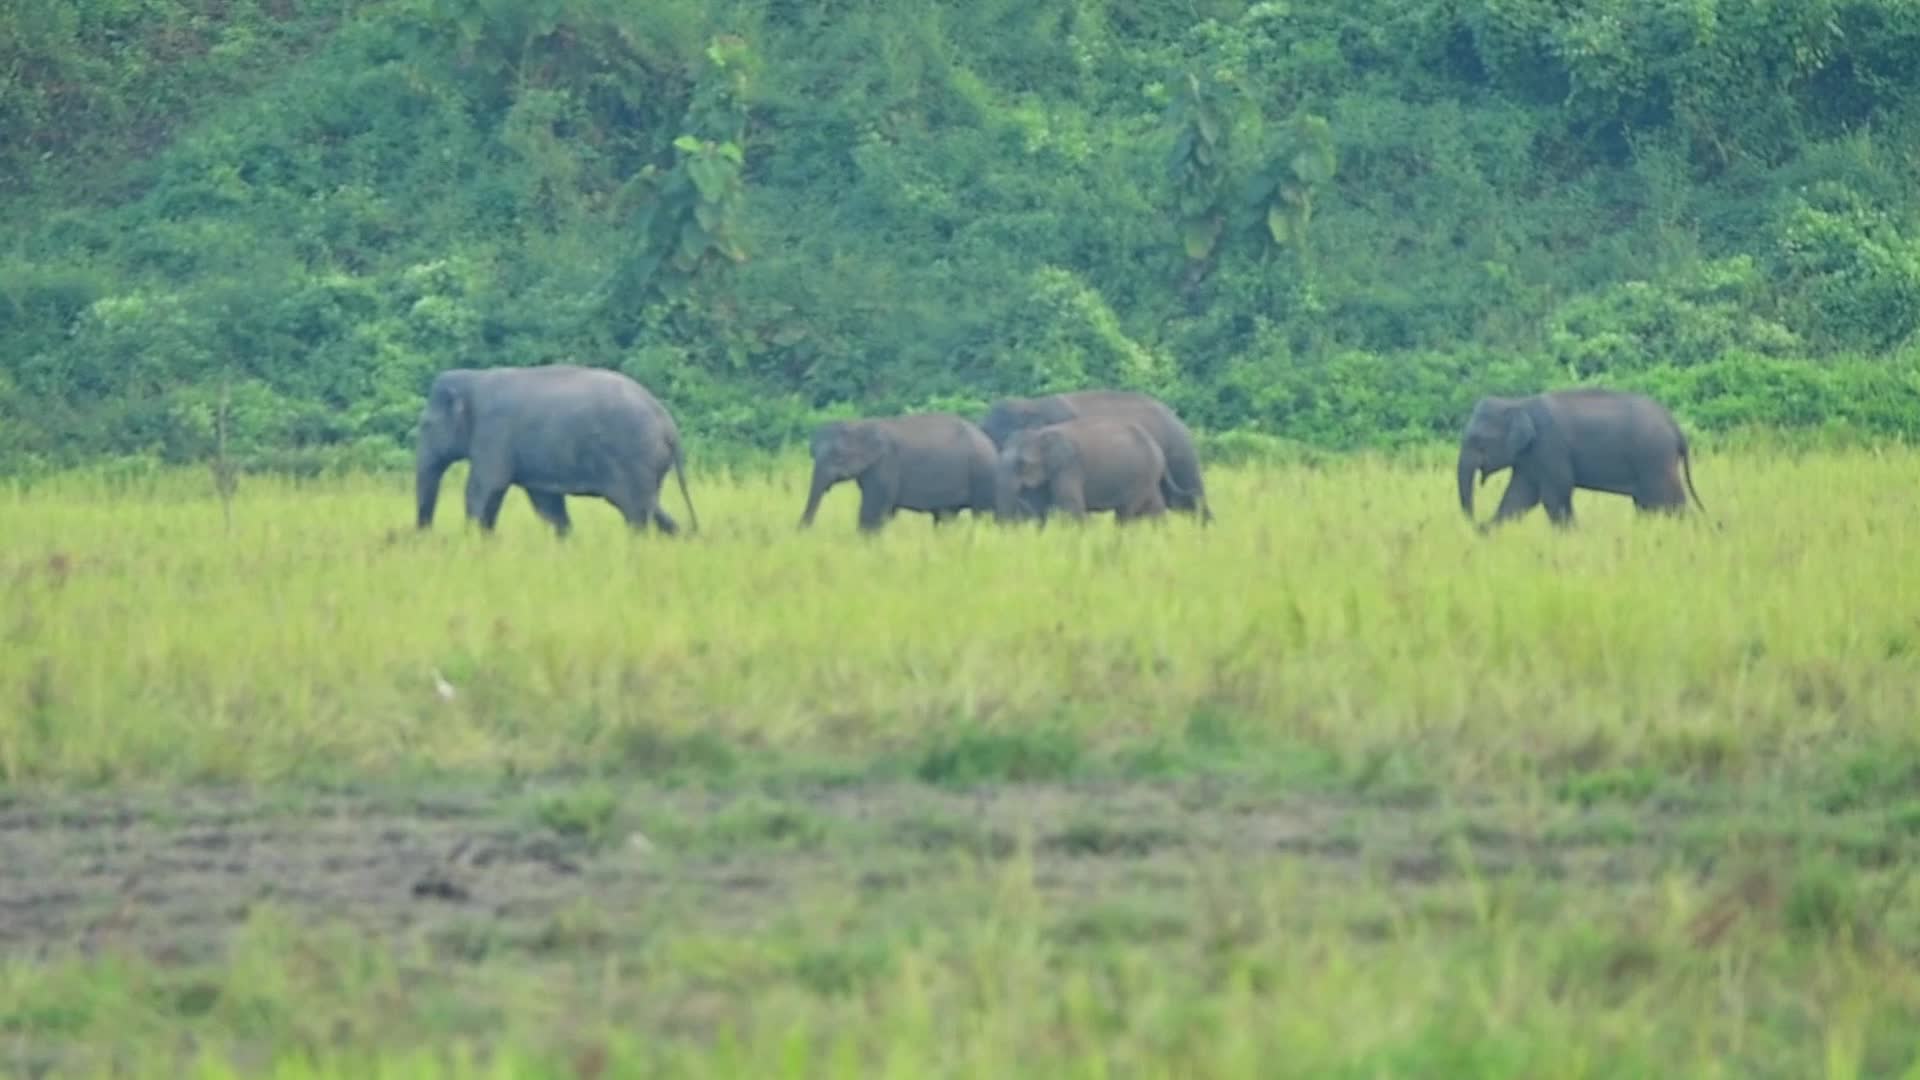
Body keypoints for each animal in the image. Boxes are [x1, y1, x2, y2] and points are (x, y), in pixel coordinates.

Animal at [414, 364, 699, 537]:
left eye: (425, 425)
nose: (424, 535)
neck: (474, 379)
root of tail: (668, 425)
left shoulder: (493, 435)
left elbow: (484, 489)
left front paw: (474, 541)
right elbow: (548, 505)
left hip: (635, 460)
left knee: (636, 514)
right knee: (653, 511)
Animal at [798, 413, 1000, 532]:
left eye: (837, 455)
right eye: (812, 452)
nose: (801, 532)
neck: (861, 424)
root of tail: (989, 442)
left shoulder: (885, 465)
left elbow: (873, 509)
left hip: (982, 475)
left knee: (980, 513)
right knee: (946, 515)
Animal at [995, 416, 1181, 525]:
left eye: (1023, 463)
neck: (1041, 433)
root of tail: (1157, 447)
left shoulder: (1069, 466)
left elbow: (1071, 505)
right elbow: (1042, 505)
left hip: (1141, 477)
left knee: (1127, 511)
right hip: (1148, 476)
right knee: (1154, 506)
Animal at [1456, 387, 1706, 530]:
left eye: (1477, 440)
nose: (1477, 523)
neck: (1518, 403)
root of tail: (1675, 426)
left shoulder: (1550, 446)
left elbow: (1555, 493)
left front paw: (1572, 534)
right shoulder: (1531, 457)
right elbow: (1520, 495)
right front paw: (1489, 532)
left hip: (1655, 460)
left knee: (1668, 501)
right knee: (1649, 503)